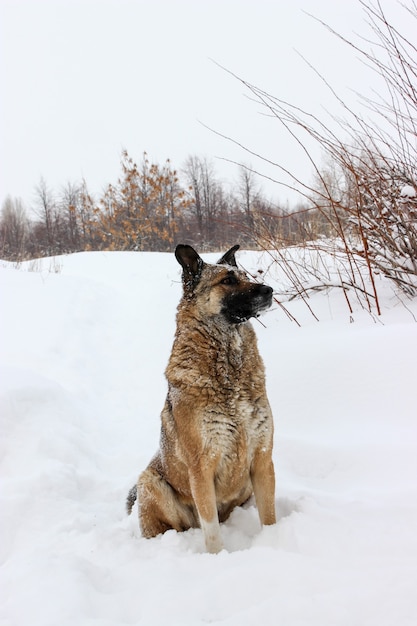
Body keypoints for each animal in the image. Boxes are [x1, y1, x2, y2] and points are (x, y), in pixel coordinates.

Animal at [127, 244, 276, 552]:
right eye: (228, 280)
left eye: (246, 276)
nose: (269, 290)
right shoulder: (201, 469)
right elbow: (212, 532)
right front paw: (218, 558)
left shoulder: (263, 459)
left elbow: (269, 517)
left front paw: (275, 542)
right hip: (150, 483)